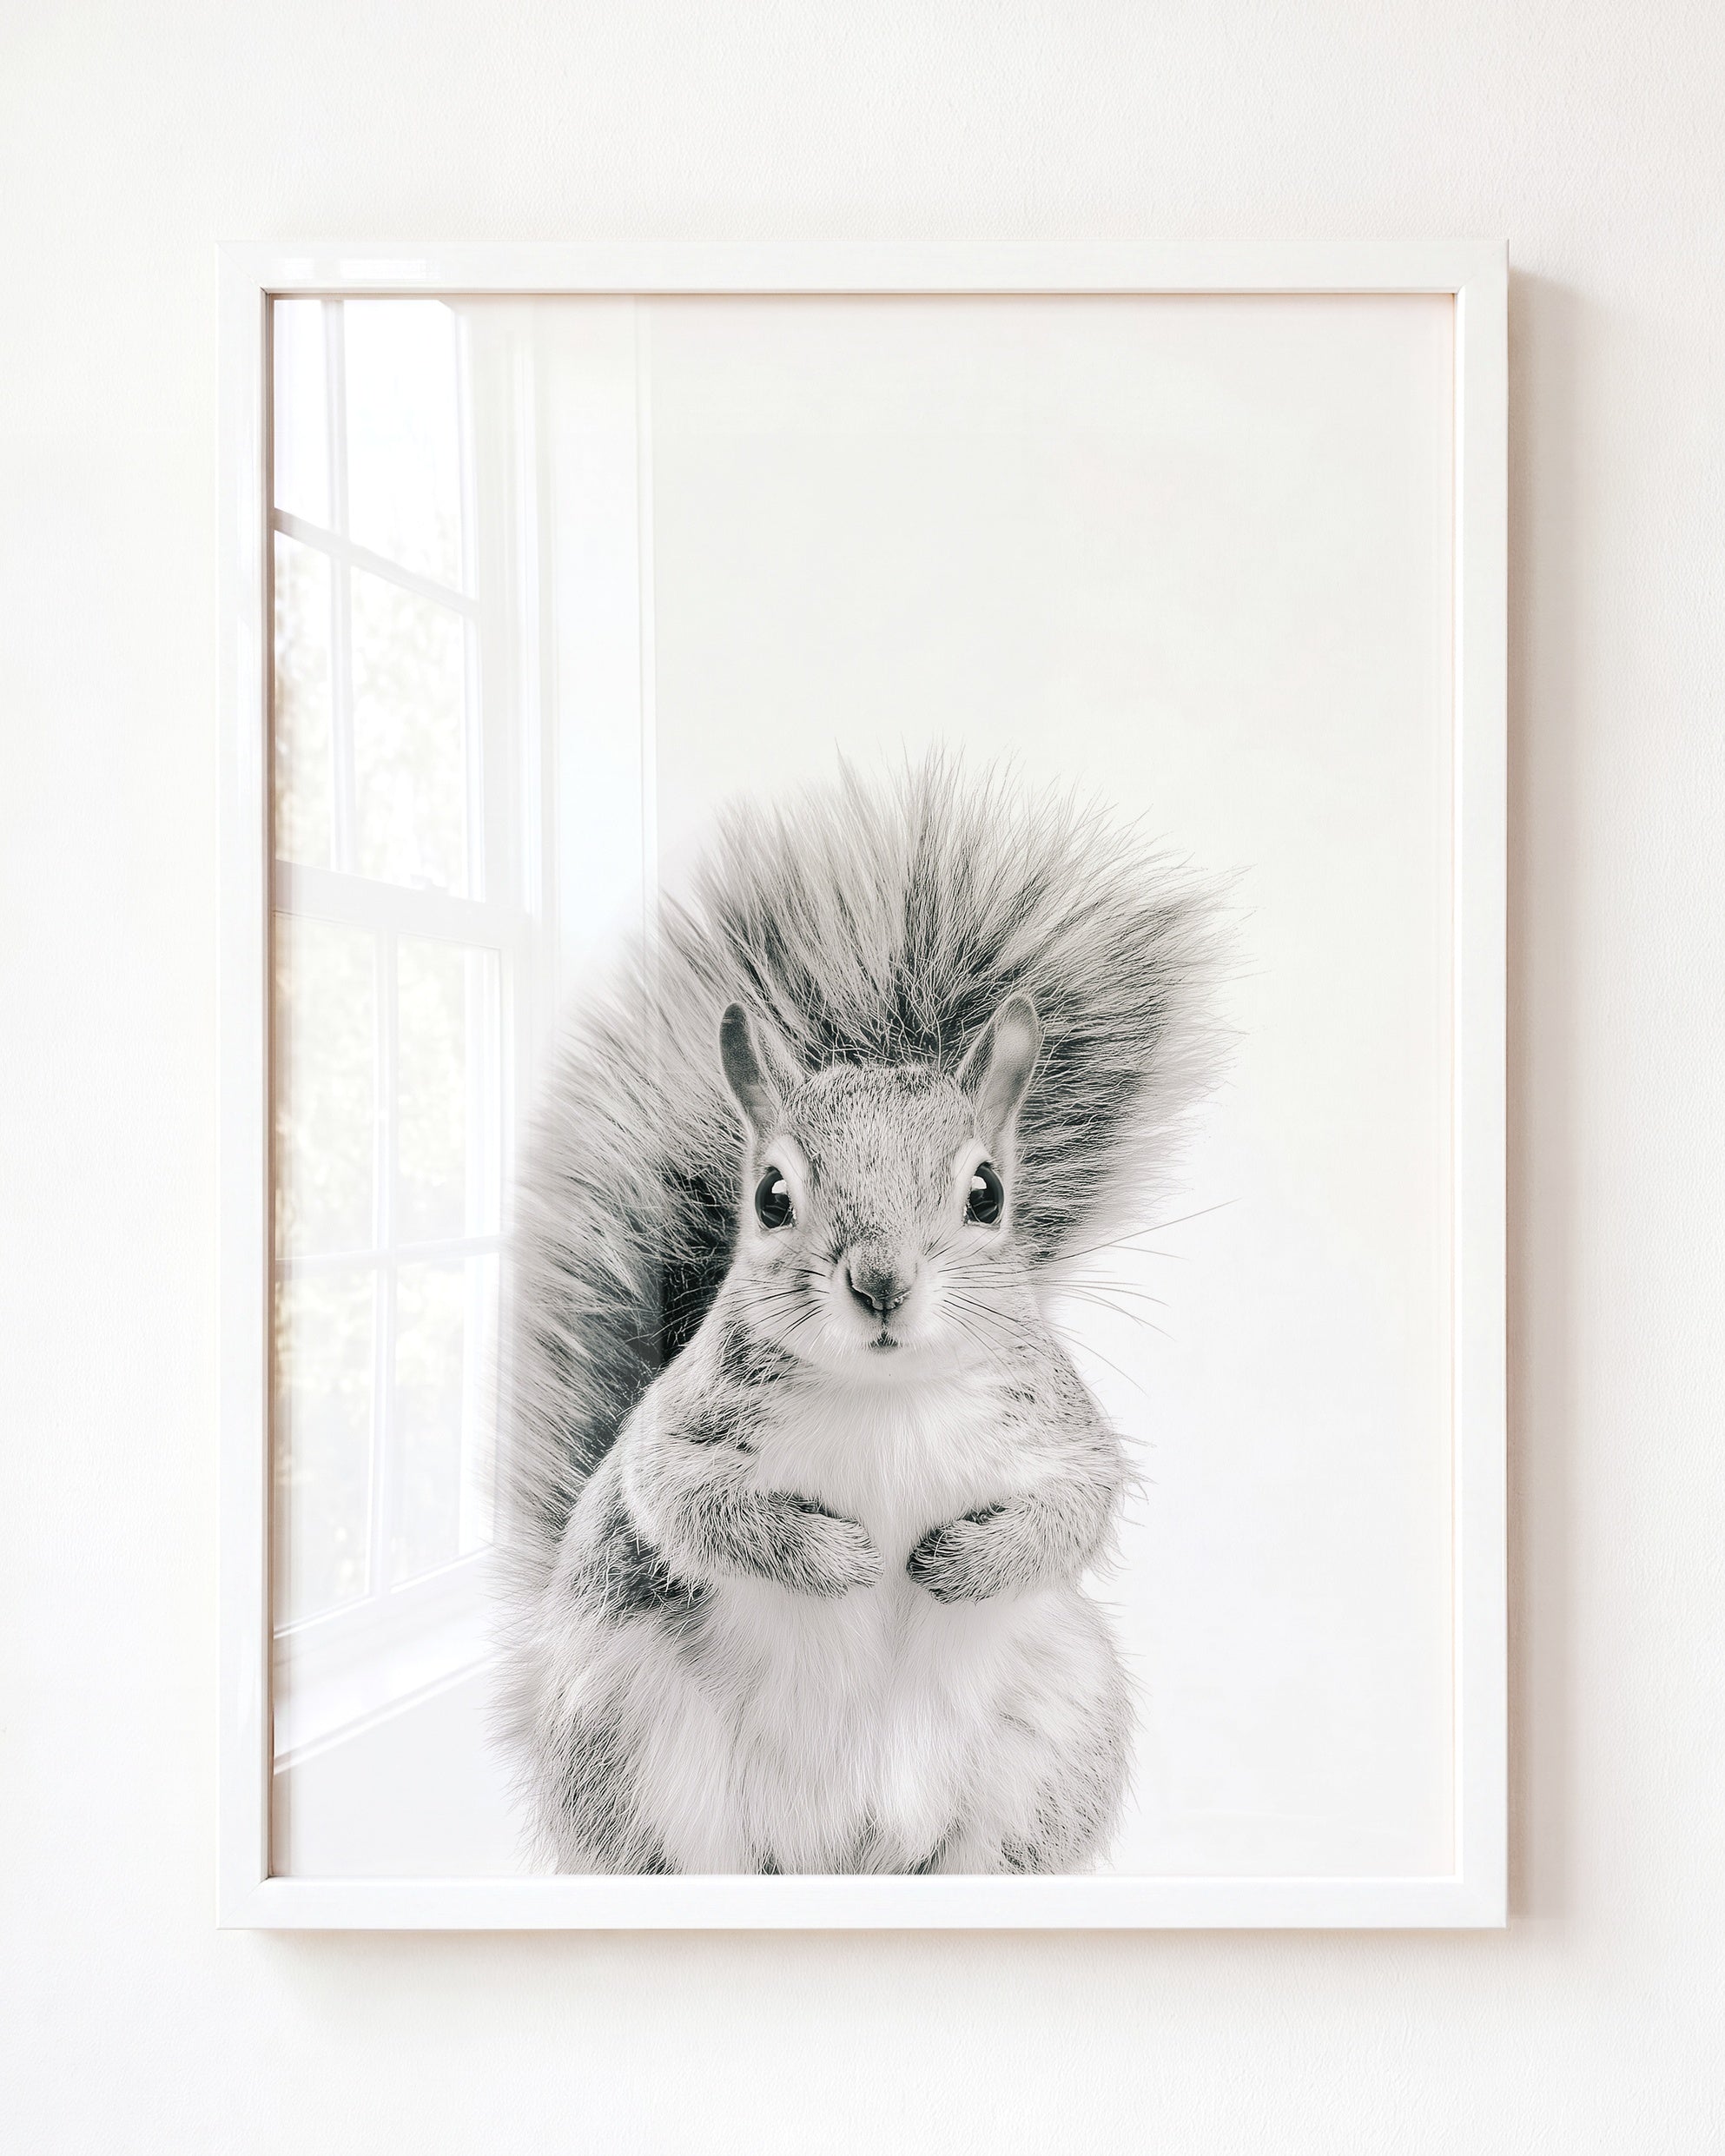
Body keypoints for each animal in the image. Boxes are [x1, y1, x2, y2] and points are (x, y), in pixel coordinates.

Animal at [493, 756, 1220, 1874]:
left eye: (987, 1194)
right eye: (770, 1197)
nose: (880, 1283)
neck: (886, 1393)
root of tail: (846, 1851)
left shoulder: (1060, 1432)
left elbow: (1075, 1509)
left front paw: (961, 1561)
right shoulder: (677, 1437)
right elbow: (692, 1507)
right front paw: (839, 1558)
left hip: (1053, 1738)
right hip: (633, 1744)